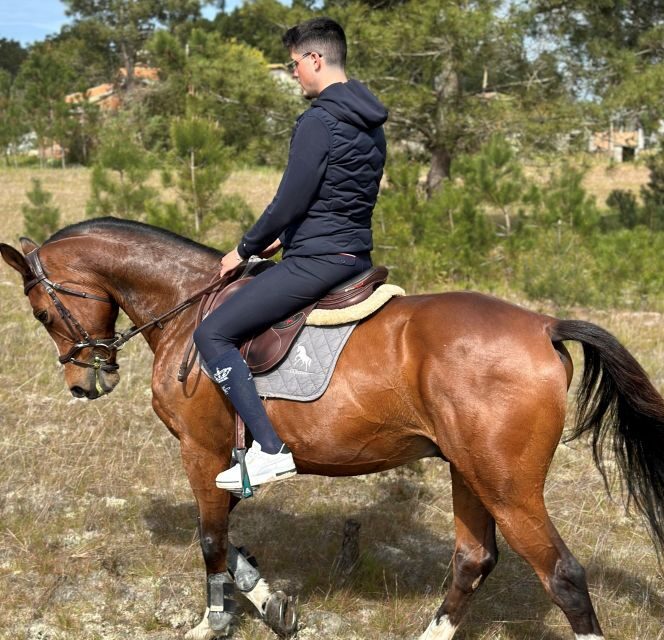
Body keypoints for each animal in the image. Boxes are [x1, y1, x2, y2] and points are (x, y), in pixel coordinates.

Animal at [1, 217, 663, 640]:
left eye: (41, 312)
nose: (86, 383)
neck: (187, 307)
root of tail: (544, 326)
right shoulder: (223, 461)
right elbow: (231, 544)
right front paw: (273, 605)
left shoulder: (202, 450)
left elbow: (211, 540)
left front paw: (212, 623)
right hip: (469, 470)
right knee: (473, 560)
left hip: (507, 484)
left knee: (563, 577)